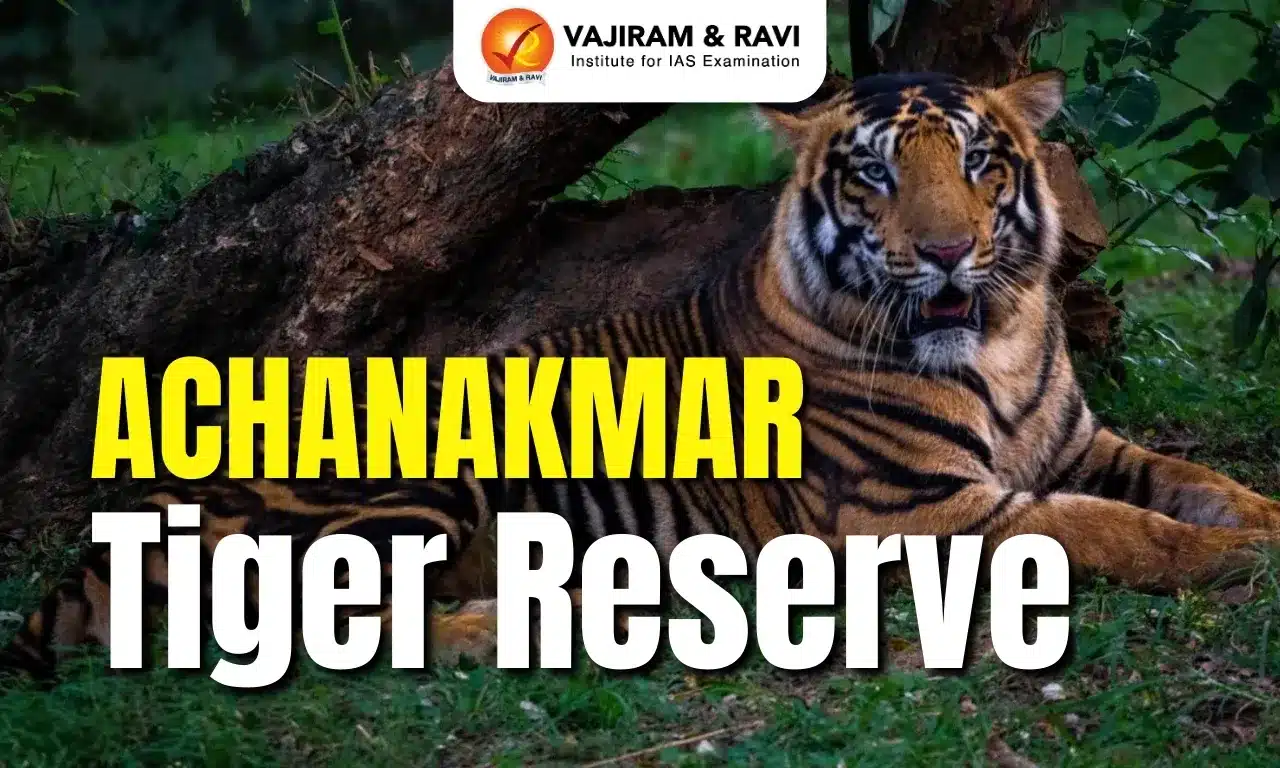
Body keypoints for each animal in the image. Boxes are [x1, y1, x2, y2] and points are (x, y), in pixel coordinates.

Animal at [4, 69, 1280, 681]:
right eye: (871, 176)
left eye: (978, 163)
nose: (943, 251)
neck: (999, 342)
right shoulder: (910, 511)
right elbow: (1103, 530)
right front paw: (1224, 564)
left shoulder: (1080, 444)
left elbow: (1198, 482)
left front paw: (1256, 523)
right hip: (409, 484)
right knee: (339, 624)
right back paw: (551, 621)